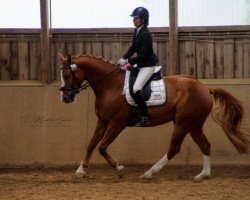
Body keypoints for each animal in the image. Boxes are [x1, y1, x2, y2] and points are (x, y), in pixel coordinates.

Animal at [58, 53, 248, 181]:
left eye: (67, 76)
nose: (65, 98)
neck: (110, 85)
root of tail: (205, 88)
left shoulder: (117, 123)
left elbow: (102, 147)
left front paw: (119, 168)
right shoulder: (103, 121)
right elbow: (91, 145)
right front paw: (81, 170)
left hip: (183, 123)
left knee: (174, 148)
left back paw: (149, 173)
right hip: (194, 125)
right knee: (205, 145)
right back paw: (203, 175)